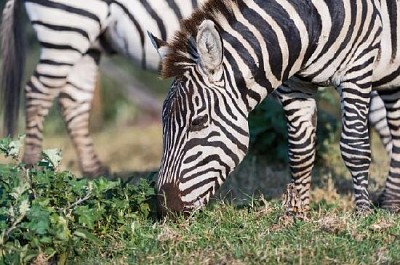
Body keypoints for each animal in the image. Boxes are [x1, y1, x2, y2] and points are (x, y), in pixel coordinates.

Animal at [0, 0, 200, 177]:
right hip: (67, 26)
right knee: (37, 92)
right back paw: (32, 167)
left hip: (86, 43)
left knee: (74, 100)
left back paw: (95, 172)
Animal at [149, 0, 400, 213]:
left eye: (198, 121)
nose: (165, 208)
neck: (309, 22)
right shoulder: (294, 86)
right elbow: (300, 152)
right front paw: (298, 214)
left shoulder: (356, 69)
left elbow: (355, 147)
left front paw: (362, 214)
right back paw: (391, 202)